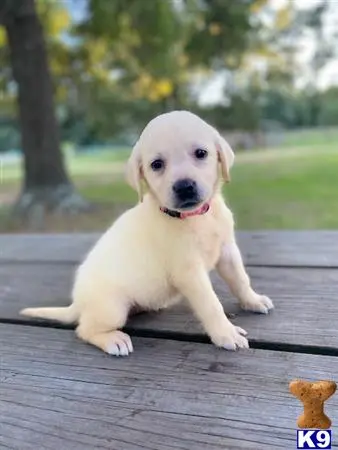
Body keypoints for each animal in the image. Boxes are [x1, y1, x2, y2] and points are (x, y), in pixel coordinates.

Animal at [21, 111, 274, 356]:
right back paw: (113, 339)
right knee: (84, 329)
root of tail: (78, 303)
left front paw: (252, 300)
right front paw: (226, 333)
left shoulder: (227, 251)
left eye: (201, 153)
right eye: (157, 164)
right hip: (112, 308)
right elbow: (211, 304)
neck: (194, 217)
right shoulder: (189, 272)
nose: (184, 187)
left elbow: (240, 279)